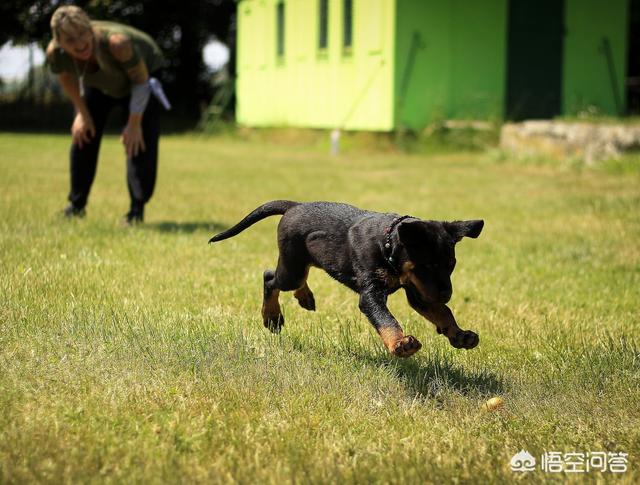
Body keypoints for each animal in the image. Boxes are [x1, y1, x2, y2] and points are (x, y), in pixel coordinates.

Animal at [208, 199, 482, 356]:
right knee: (269, 278)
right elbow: (387, 320)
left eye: (451, 265)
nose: (447, 294)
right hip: (292, 268)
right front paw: (400, 344)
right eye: (428, 265)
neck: (387, 244)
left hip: (304, 261)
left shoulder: (419, 292)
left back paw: (305, 297)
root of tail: (294, 206)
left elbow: (443, 312)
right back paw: (272, 317)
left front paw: (460, 335)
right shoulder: (372, 294)